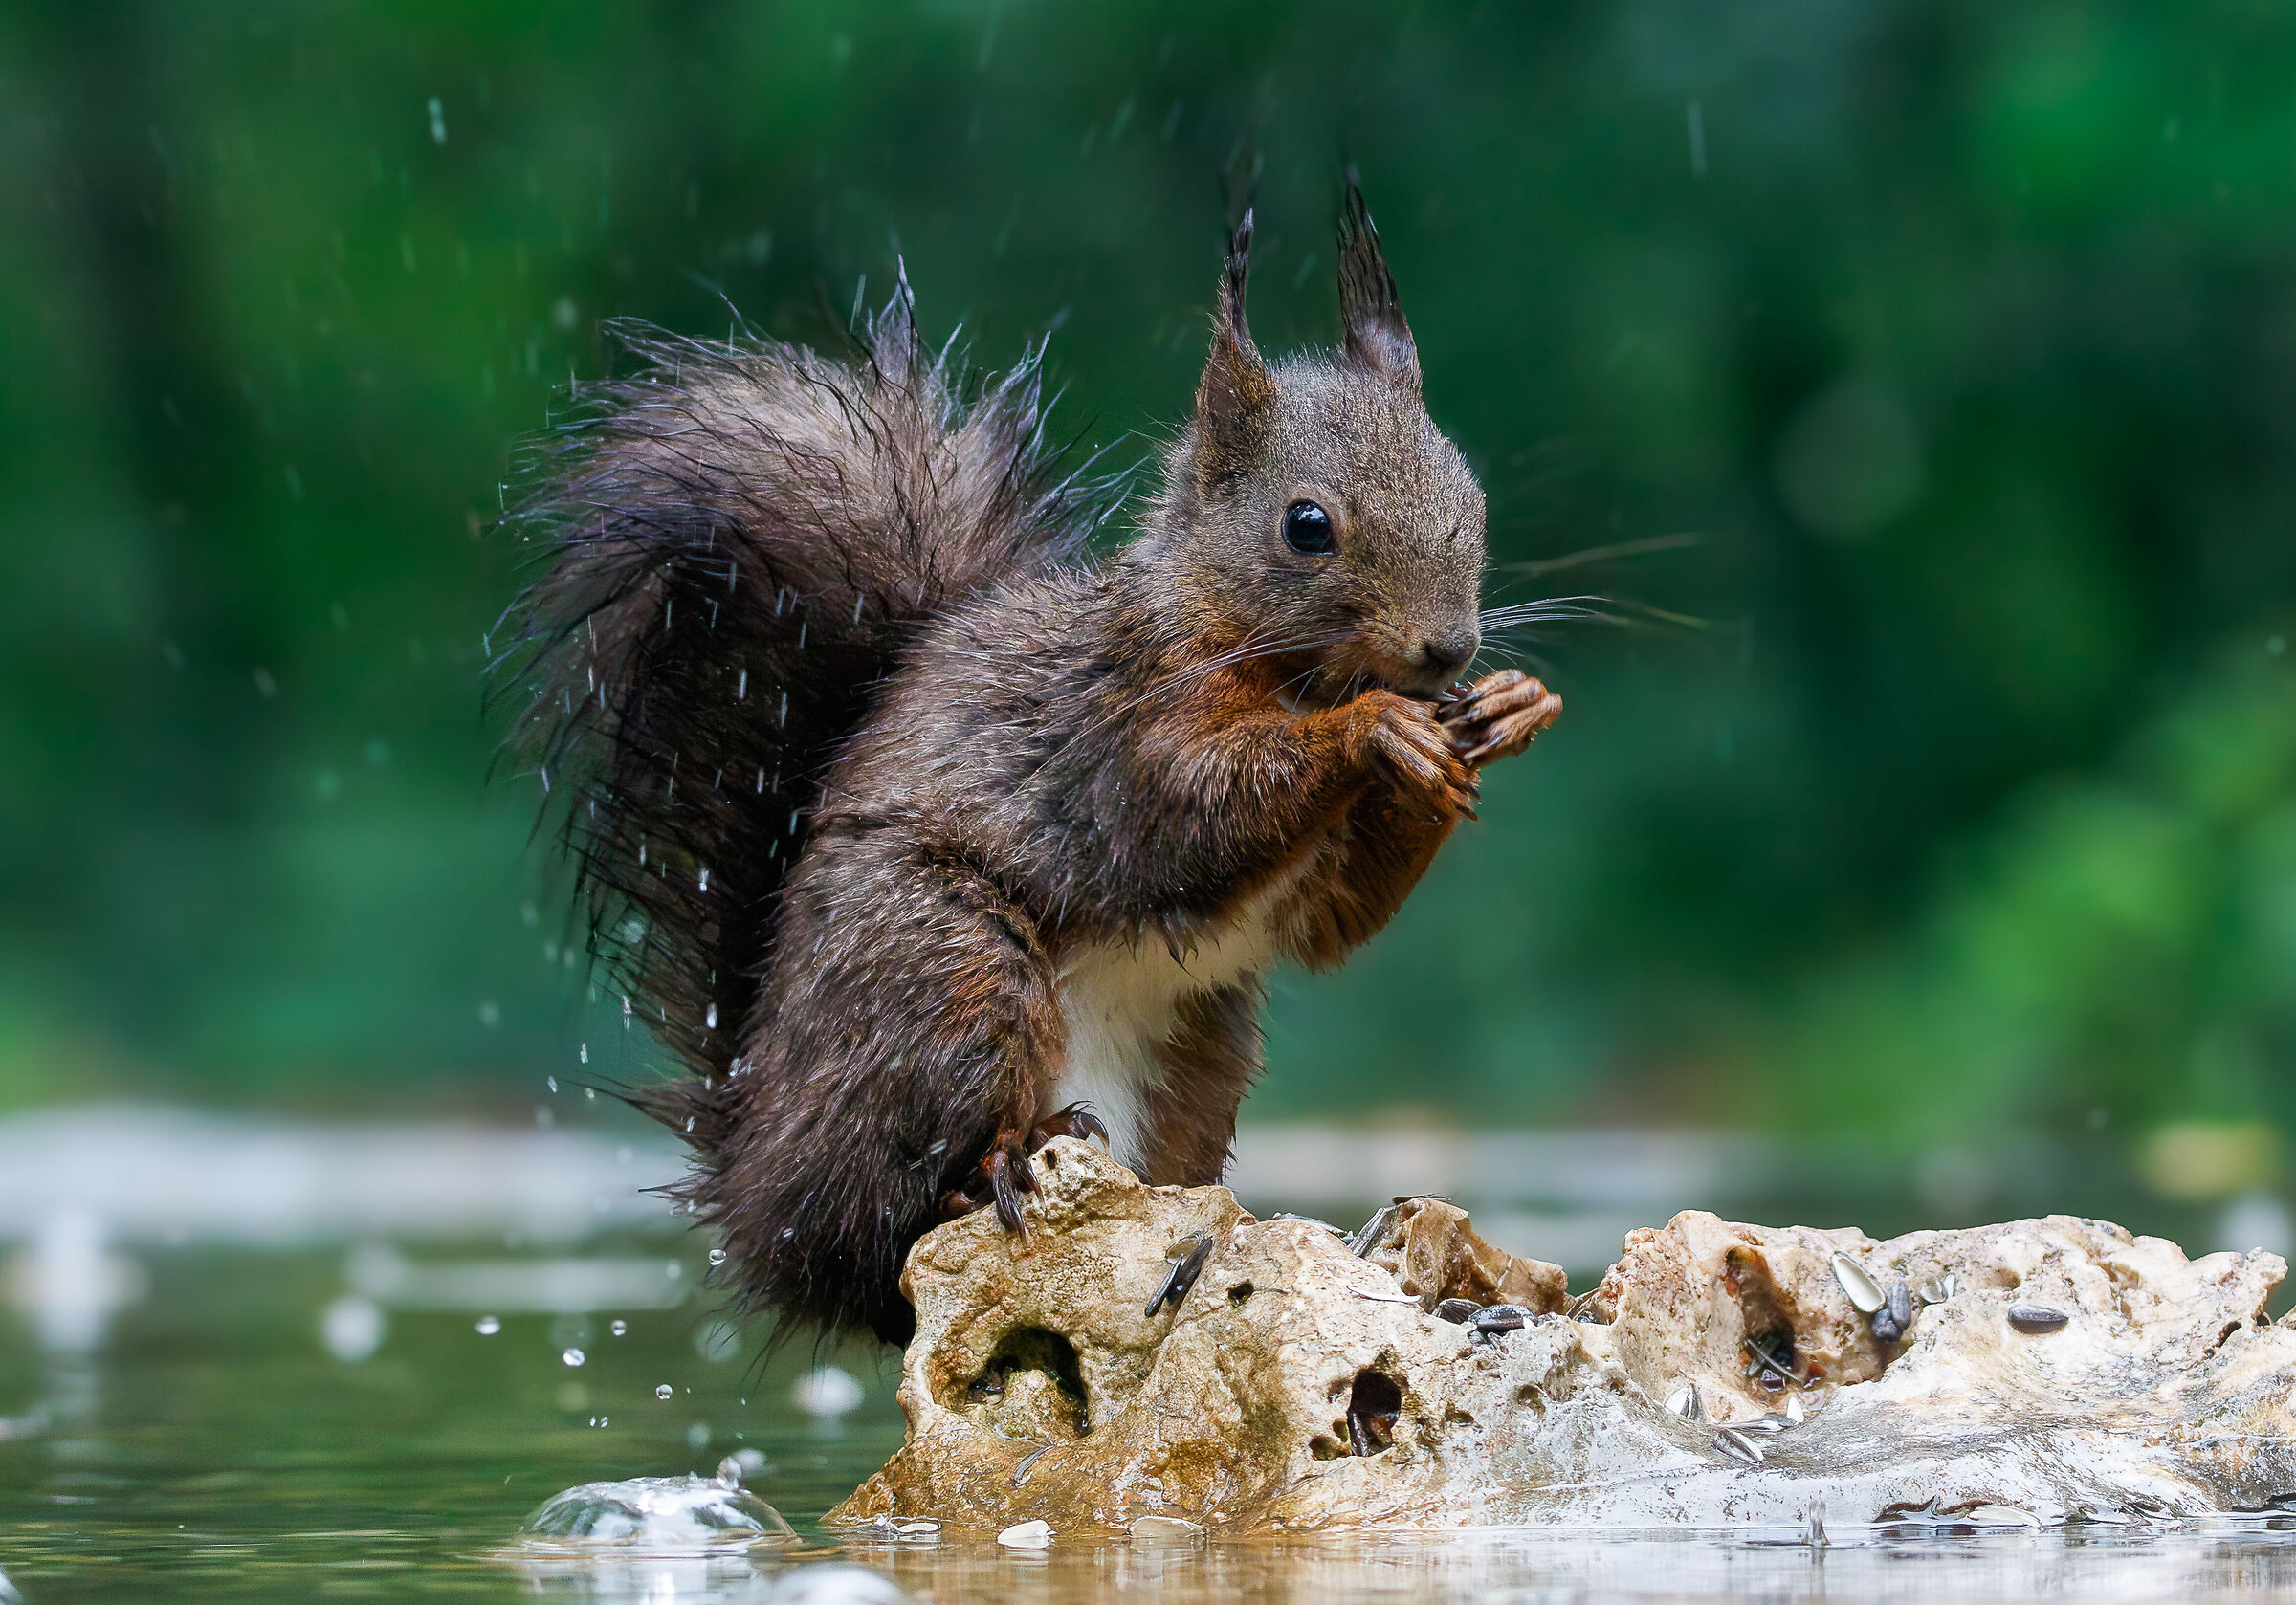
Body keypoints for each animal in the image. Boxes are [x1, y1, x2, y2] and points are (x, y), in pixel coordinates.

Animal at [499, 185, 1562, 1344]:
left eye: (1470, 495)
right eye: (1307, 525)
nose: (1449, 650)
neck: (1245, 645)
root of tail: (757, 1185)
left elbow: (1335, 923)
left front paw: (1509, 707)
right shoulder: (1119, 730)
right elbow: (1199, 805)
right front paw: (1378, 729)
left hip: (1198, 1047)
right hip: (949, 977)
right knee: (891, 1216)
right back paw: (1000, 1163)